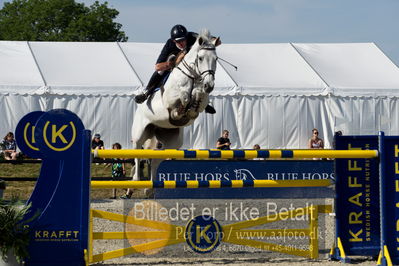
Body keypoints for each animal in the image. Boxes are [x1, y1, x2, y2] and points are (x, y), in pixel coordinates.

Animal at [130, 29, 219, 189]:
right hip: (139, 133)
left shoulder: (202, 99)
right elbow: (184, 97)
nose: (209, 85)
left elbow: (197, 97)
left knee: (155, 160)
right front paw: (180, 112)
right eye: (200, 58)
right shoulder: (170, 99)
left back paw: (150, 188)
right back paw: (136, 180)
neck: (193, 77)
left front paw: (190, 108)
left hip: (172, 142)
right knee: (137, 153)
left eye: (216, 59)